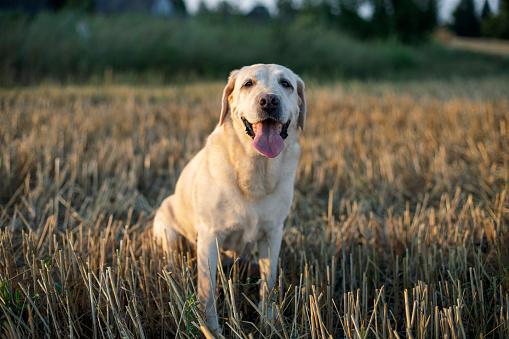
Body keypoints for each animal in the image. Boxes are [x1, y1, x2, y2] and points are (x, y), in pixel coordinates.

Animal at [153, 63, 306, 334]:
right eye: (248, 84)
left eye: (286, 84)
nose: (269, 100)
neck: (255, 170)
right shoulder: (210, 236)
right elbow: (207, 290)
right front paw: (210, 330)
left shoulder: (272, 233)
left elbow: (269, 283)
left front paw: (269, 323)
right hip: (167, 233)